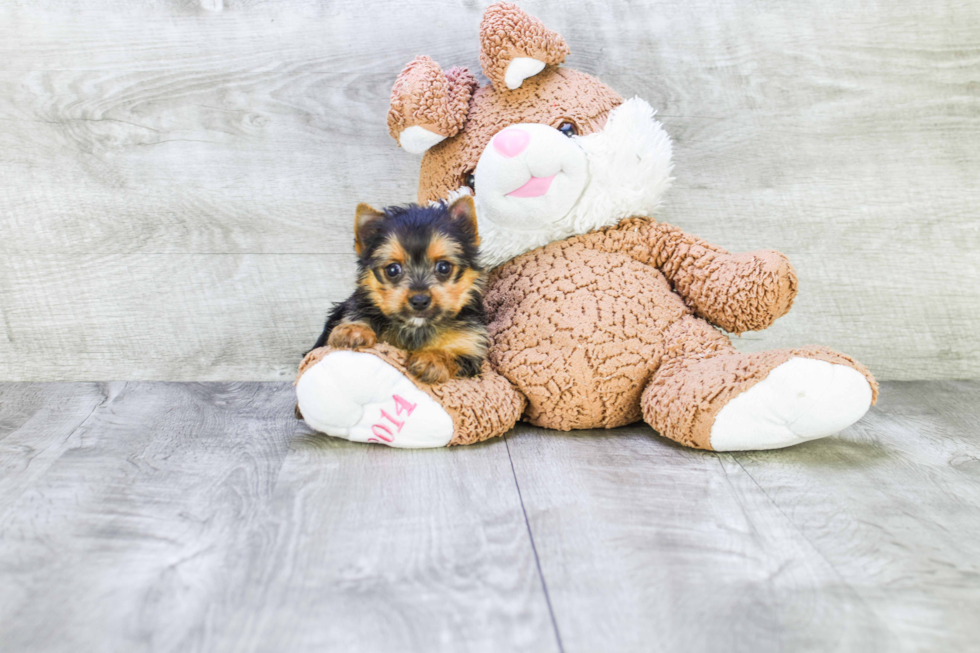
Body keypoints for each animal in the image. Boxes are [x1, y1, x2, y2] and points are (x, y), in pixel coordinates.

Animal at [310, 196, 486, 384]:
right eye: (392, 270)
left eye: (444, 267)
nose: (419, 301)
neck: (416, 327)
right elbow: (360, 316)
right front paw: (354, 329)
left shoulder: (471, 347)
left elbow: (456, 356)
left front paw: (432, 359)